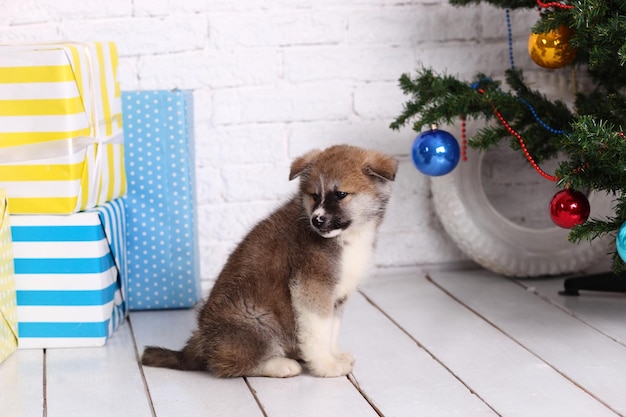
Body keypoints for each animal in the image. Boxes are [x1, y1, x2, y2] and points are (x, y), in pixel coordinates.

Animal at [140, 145, 394, 378]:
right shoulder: (312, 287)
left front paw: (335, 355)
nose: (317, 220)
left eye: (340, 194)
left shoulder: (337, 295)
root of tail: (200, 341)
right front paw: (325, 366)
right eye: (314, 195)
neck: (350, 236)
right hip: (257, 321)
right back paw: (280, 365)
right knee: (226, 364)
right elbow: (319, 332)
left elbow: (332, 328)